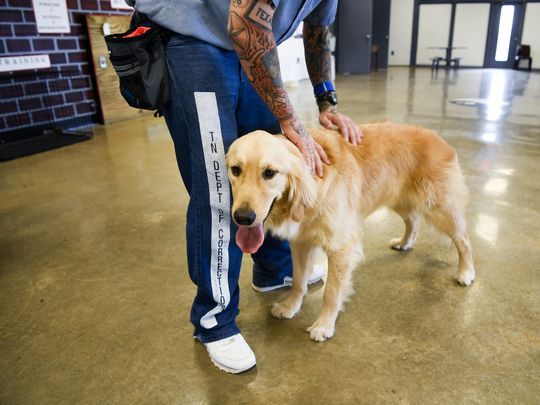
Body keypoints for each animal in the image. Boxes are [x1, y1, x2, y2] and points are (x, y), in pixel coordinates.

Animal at [226, 122, 475, 342]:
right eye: (235, 170)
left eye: (270, 172)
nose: (243, 217)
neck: (314, 185)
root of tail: (440, 139)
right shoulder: (301, 243)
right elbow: (298, 281)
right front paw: (290, 306)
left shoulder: (340, 247)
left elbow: (331, 292)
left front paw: (324, 325)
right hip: (400, 198)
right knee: (413, 220)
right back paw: (404, 242)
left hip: (441, 209)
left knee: (464, 241)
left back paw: (466, 272)